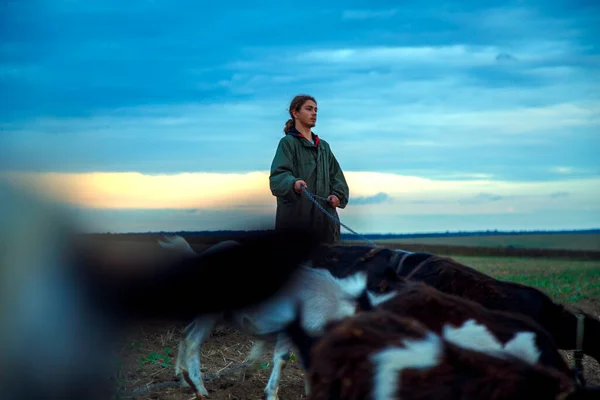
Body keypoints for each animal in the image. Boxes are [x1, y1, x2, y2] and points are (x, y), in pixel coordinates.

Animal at [157, 234, 368, 400]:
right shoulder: (289, 330)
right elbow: (283, 358)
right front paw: (272, 394)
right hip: (209, 313)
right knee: (193, 340)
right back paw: (202, 391)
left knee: (185, 333)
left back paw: (182, 380)